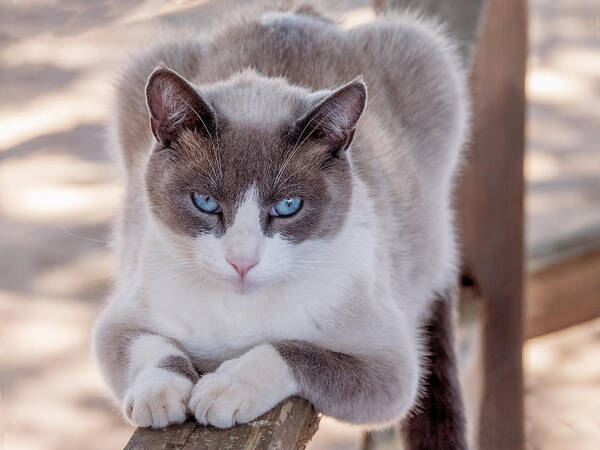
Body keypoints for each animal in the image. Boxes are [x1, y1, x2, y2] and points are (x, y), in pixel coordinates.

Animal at [92, 2, 468, 446]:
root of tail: (297, 14)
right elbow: (155, 349)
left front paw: (224, 389)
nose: (241, 262)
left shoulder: (388, 370)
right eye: (206, 202)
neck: (239, 311)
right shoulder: (121, 323)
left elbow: (289, 350)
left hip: (431, 58)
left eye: (288, 206)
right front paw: (160, 396)